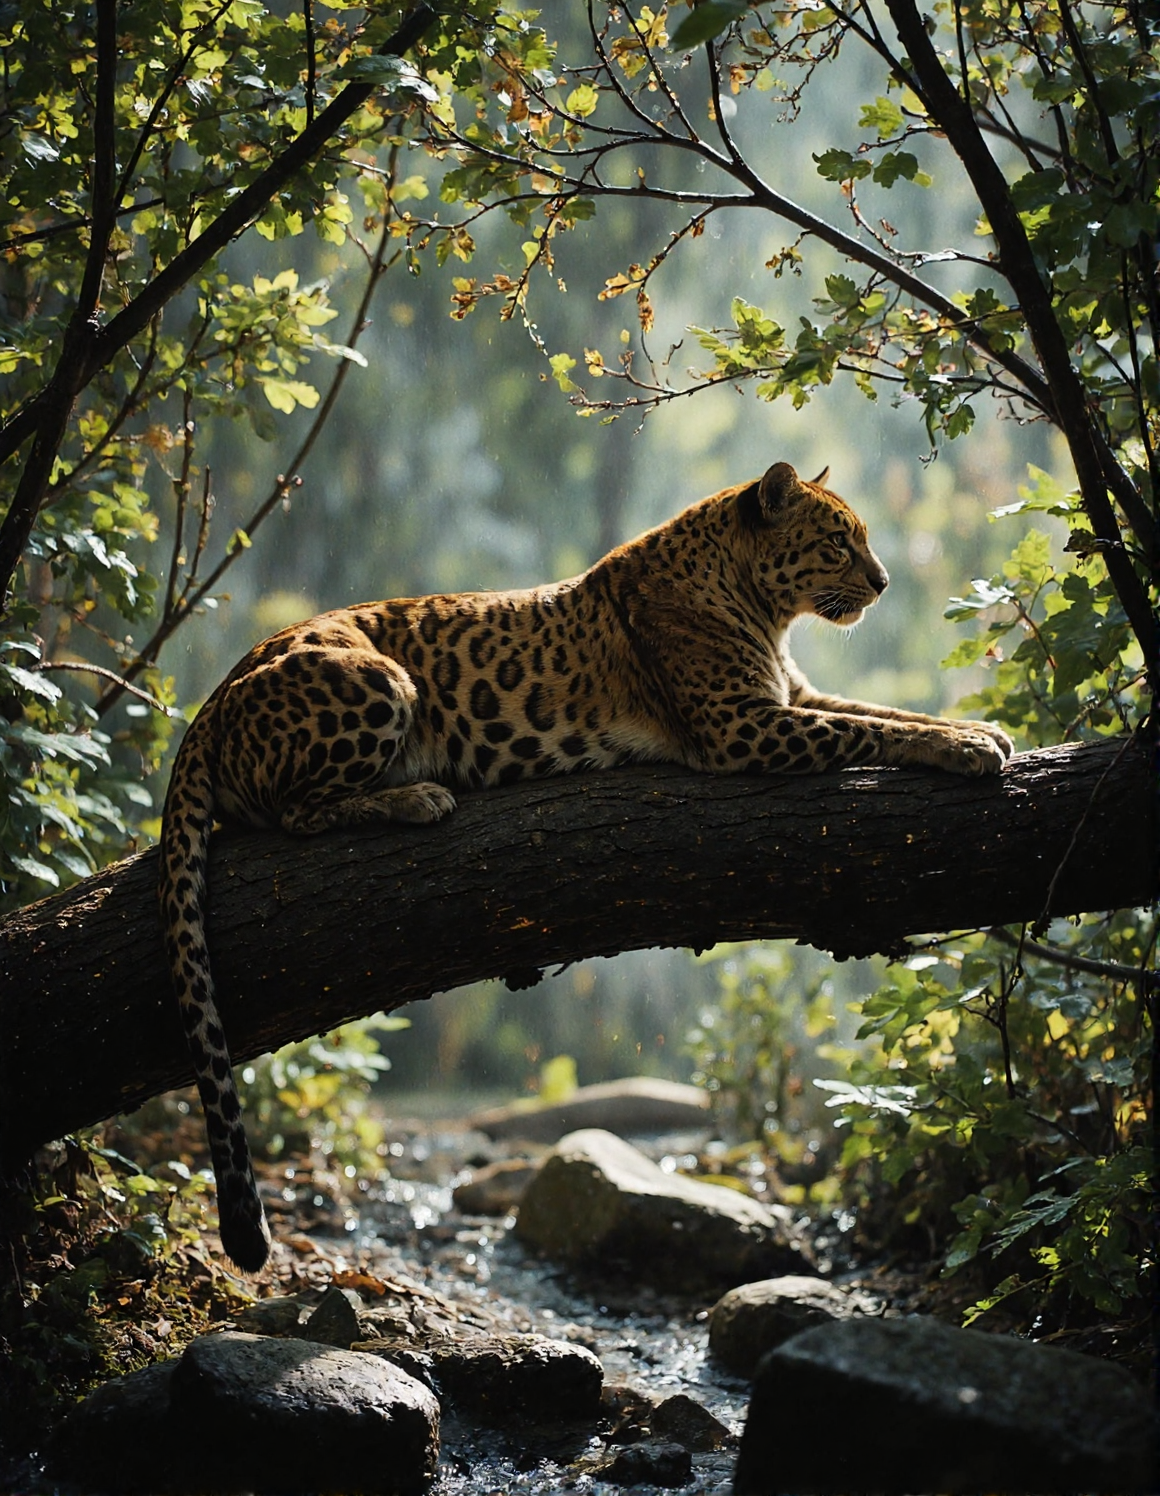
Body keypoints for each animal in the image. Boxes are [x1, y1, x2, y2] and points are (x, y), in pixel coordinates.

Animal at [159, 460, 1013, 1271]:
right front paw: (967, 747)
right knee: (295, 812)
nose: (884, 581)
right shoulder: (743, 728)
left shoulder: (794, 697)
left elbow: (885, 713)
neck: (761, 609)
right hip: (379, 681)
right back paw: (417, 797)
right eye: (837, 541)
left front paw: (980, 730)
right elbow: (870, 732)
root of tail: (212, 700)